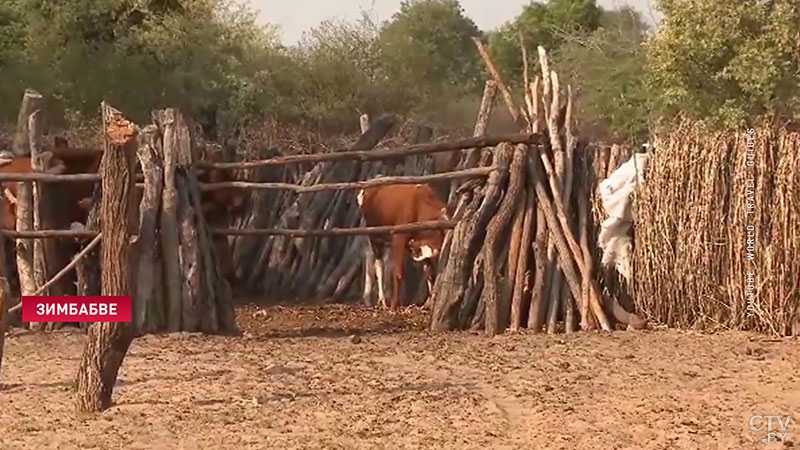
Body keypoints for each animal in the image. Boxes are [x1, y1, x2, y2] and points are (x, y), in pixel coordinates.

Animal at [358, 182, 450, 310]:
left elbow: (430, 274)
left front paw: (429, 303)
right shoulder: (399, 239)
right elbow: (398, 273)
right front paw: (393, 307)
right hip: (375, 237)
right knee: (378, 265)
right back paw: (382, 301)